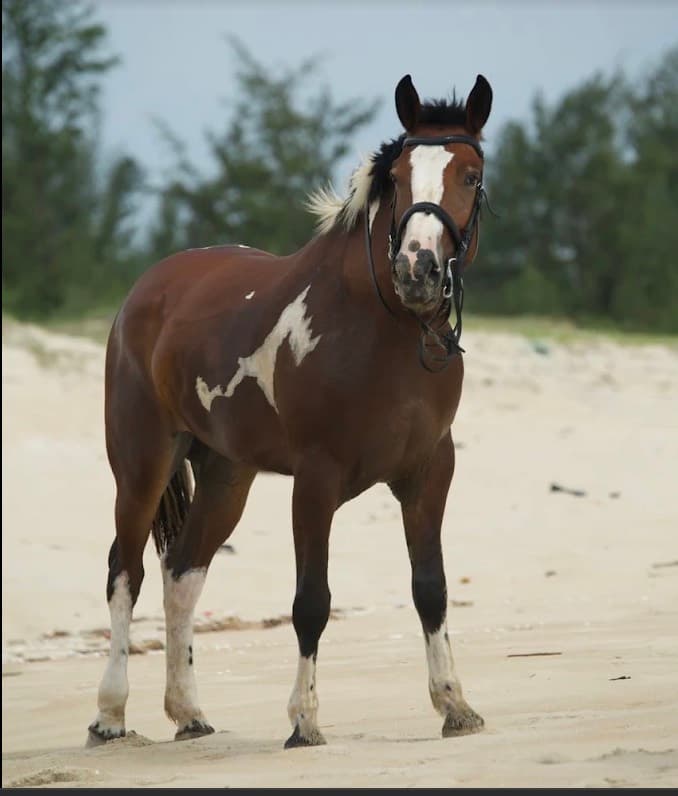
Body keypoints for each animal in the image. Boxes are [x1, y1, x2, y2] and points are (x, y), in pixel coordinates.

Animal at [87, 72, 493, 749]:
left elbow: (431, 590)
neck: (381, 327)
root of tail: (147, 291)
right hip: (142, 463)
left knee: (183, 574)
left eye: (470, 174)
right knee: (127, 571)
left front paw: (455, 706)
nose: (417, 269)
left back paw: (188, 712)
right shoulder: (316, 478)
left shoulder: (429, 473)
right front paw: (304, 720)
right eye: (398, 177)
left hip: (226, 475)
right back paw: (111, 716)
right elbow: (311, 601)